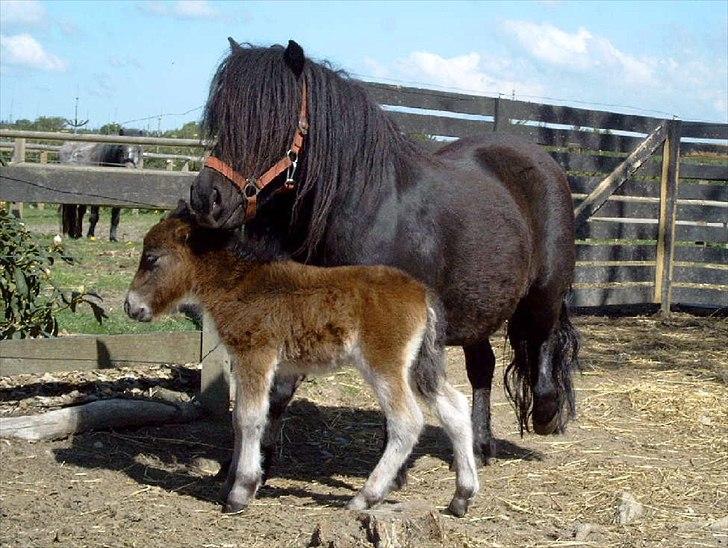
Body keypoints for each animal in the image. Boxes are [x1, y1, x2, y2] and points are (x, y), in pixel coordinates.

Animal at [125, 208, 478, 516]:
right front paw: (230, 483)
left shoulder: (256, 355)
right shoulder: (254, 363)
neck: (240, 285)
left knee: (407, 421)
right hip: (419, 366)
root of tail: (422, 293)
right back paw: (462, 496)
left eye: (152, 258)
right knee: (455, 410)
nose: (130, 306)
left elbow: (249, 418)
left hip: (384, 365)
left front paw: (240, 491)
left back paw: (366, 497)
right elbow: (244, 419)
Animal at [189, 40, 580, 474]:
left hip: (543, 295)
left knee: (542, 346)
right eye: (222, 117)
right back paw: (479, 445)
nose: (206, 199)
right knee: (483, 367)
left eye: (274, 119)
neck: (368, 209)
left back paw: (545, 415)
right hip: (475, 307)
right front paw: (251, 461)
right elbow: (280, 388)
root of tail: (542, 161)